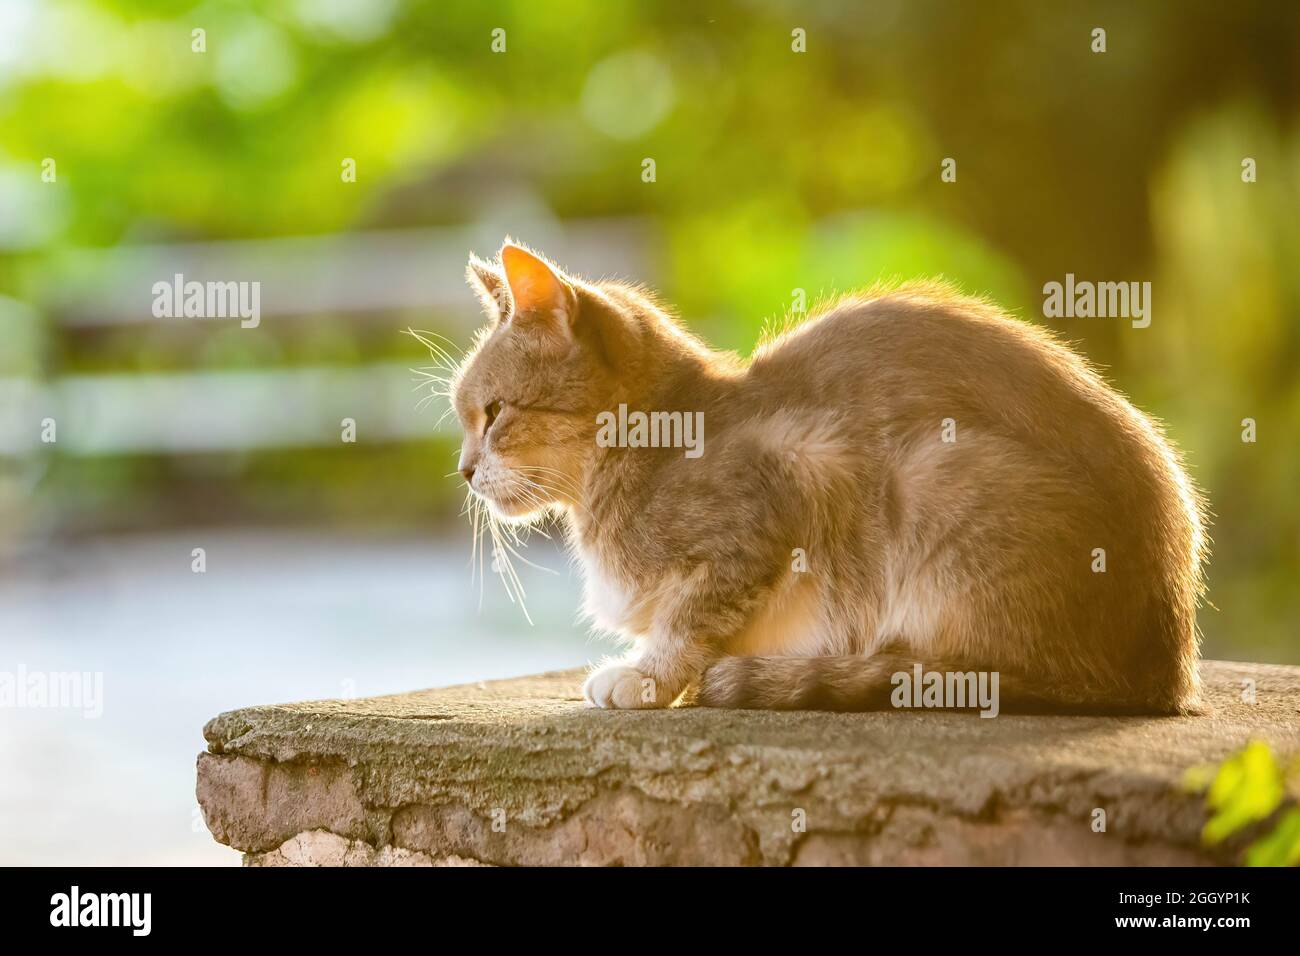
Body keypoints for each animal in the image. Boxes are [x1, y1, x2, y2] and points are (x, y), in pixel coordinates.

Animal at [447, 243, 1206, 712]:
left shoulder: (782, 490)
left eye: (494, 412)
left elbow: (689, 619)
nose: (463, 469)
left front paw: (648, 675)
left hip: (939, 475)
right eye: (463, 417)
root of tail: (1168, 672)